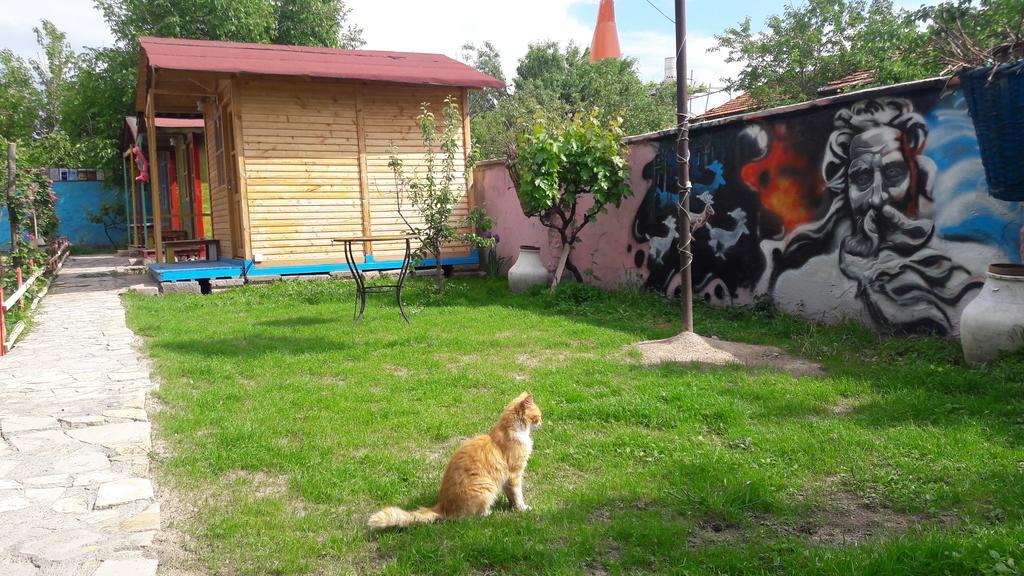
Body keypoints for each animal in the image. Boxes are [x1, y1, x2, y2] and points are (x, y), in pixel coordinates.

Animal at [370, 389, 544, 528]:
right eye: (538, 416)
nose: (542, 423)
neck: (511, 429)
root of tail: (442, 506)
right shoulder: (515, 473)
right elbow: (518, 494)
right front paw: (522, 508)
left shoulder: (508, 478)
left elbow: (511, 495)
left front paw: (512, 506)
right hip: (486, 488)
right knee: (468, 517)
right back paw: (488, 513)